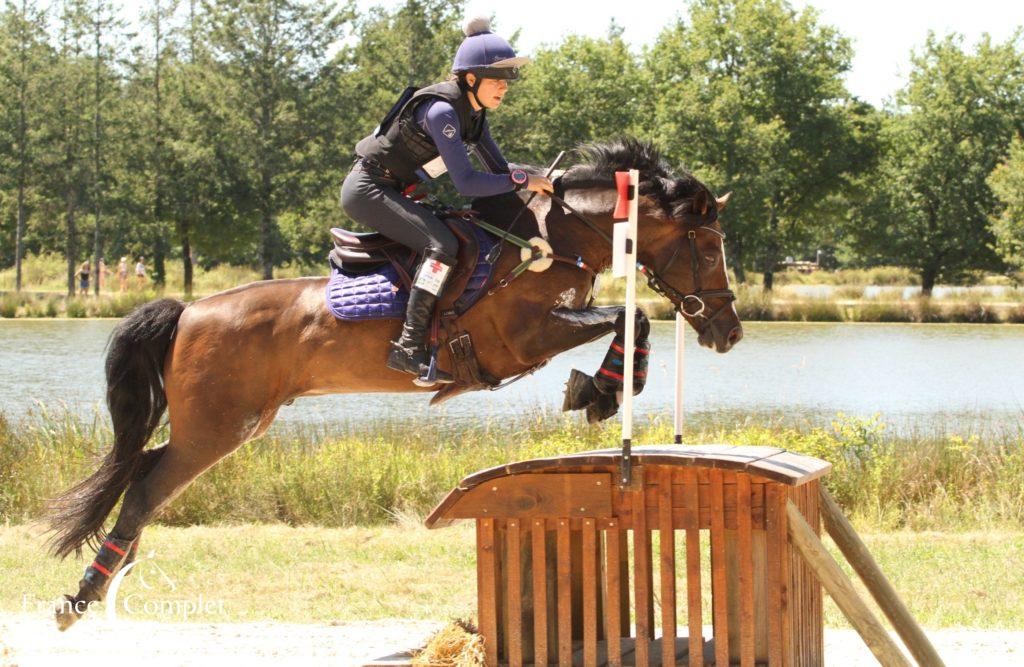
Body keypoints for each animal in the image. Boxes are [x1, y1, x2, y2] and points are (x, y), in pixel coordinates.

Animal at [46, 138, 745, 627]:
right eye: (709, 250)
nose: (730, 333)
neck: (554, 239)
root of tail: (189, 310)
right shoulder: (522, 338)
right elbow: (632, 315)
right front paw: (599, 390)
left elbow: (633, 316)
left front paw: (605, 388)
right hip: (217, 429)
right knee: (145, 486)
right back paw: (83, 596)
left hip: (226, 424)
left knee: (144, 474)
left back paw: (113, 574)